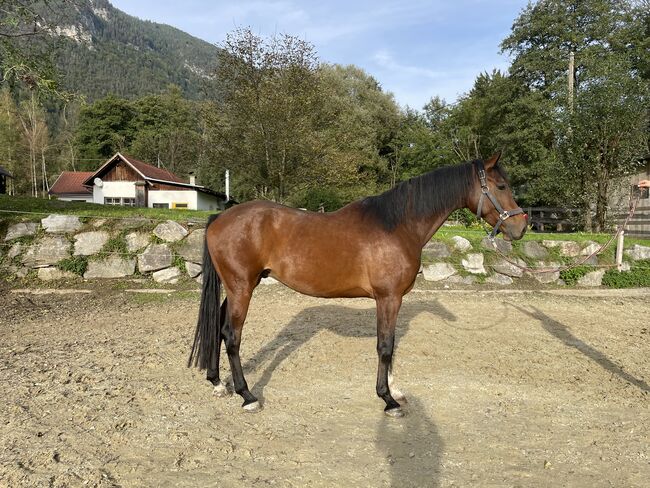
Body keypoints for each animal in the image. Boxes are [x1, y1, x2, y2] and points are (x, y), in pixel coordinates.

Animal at [187, 152, 528, 416]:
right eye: (501, 185)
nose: (521, 226)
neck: (397, 226)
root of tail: (220, 218)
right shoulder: (388, 298)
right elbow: (385, 346)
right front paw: (388, 400)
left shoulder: (392, 300)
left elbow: (391, 344)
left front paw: (395, 390)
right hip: (242, 288)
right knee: (232, 336)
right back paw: (247, 396)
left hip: (238, 287)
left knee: (217, 326)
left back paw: (217, 383)